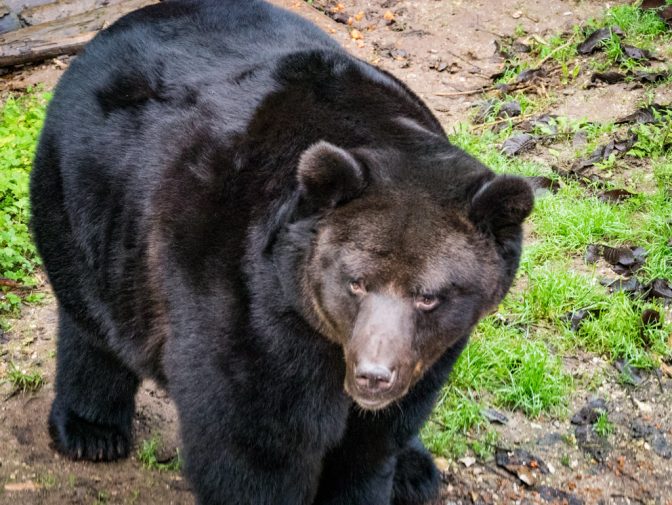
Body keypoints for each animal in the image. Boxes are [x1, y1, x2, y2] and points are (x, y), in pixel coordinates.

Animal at [30, 0, 536, 504]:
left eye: (428, 296)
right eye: (355, 282)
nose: (374, 375)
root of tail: (116, 29)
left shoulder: (433, 347)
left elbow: (375, 437)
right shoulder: (244, 299)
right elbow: (254, 437)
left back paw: (415, 470)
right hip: (92, 208)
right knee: (93, 328)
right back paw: (91, 431)